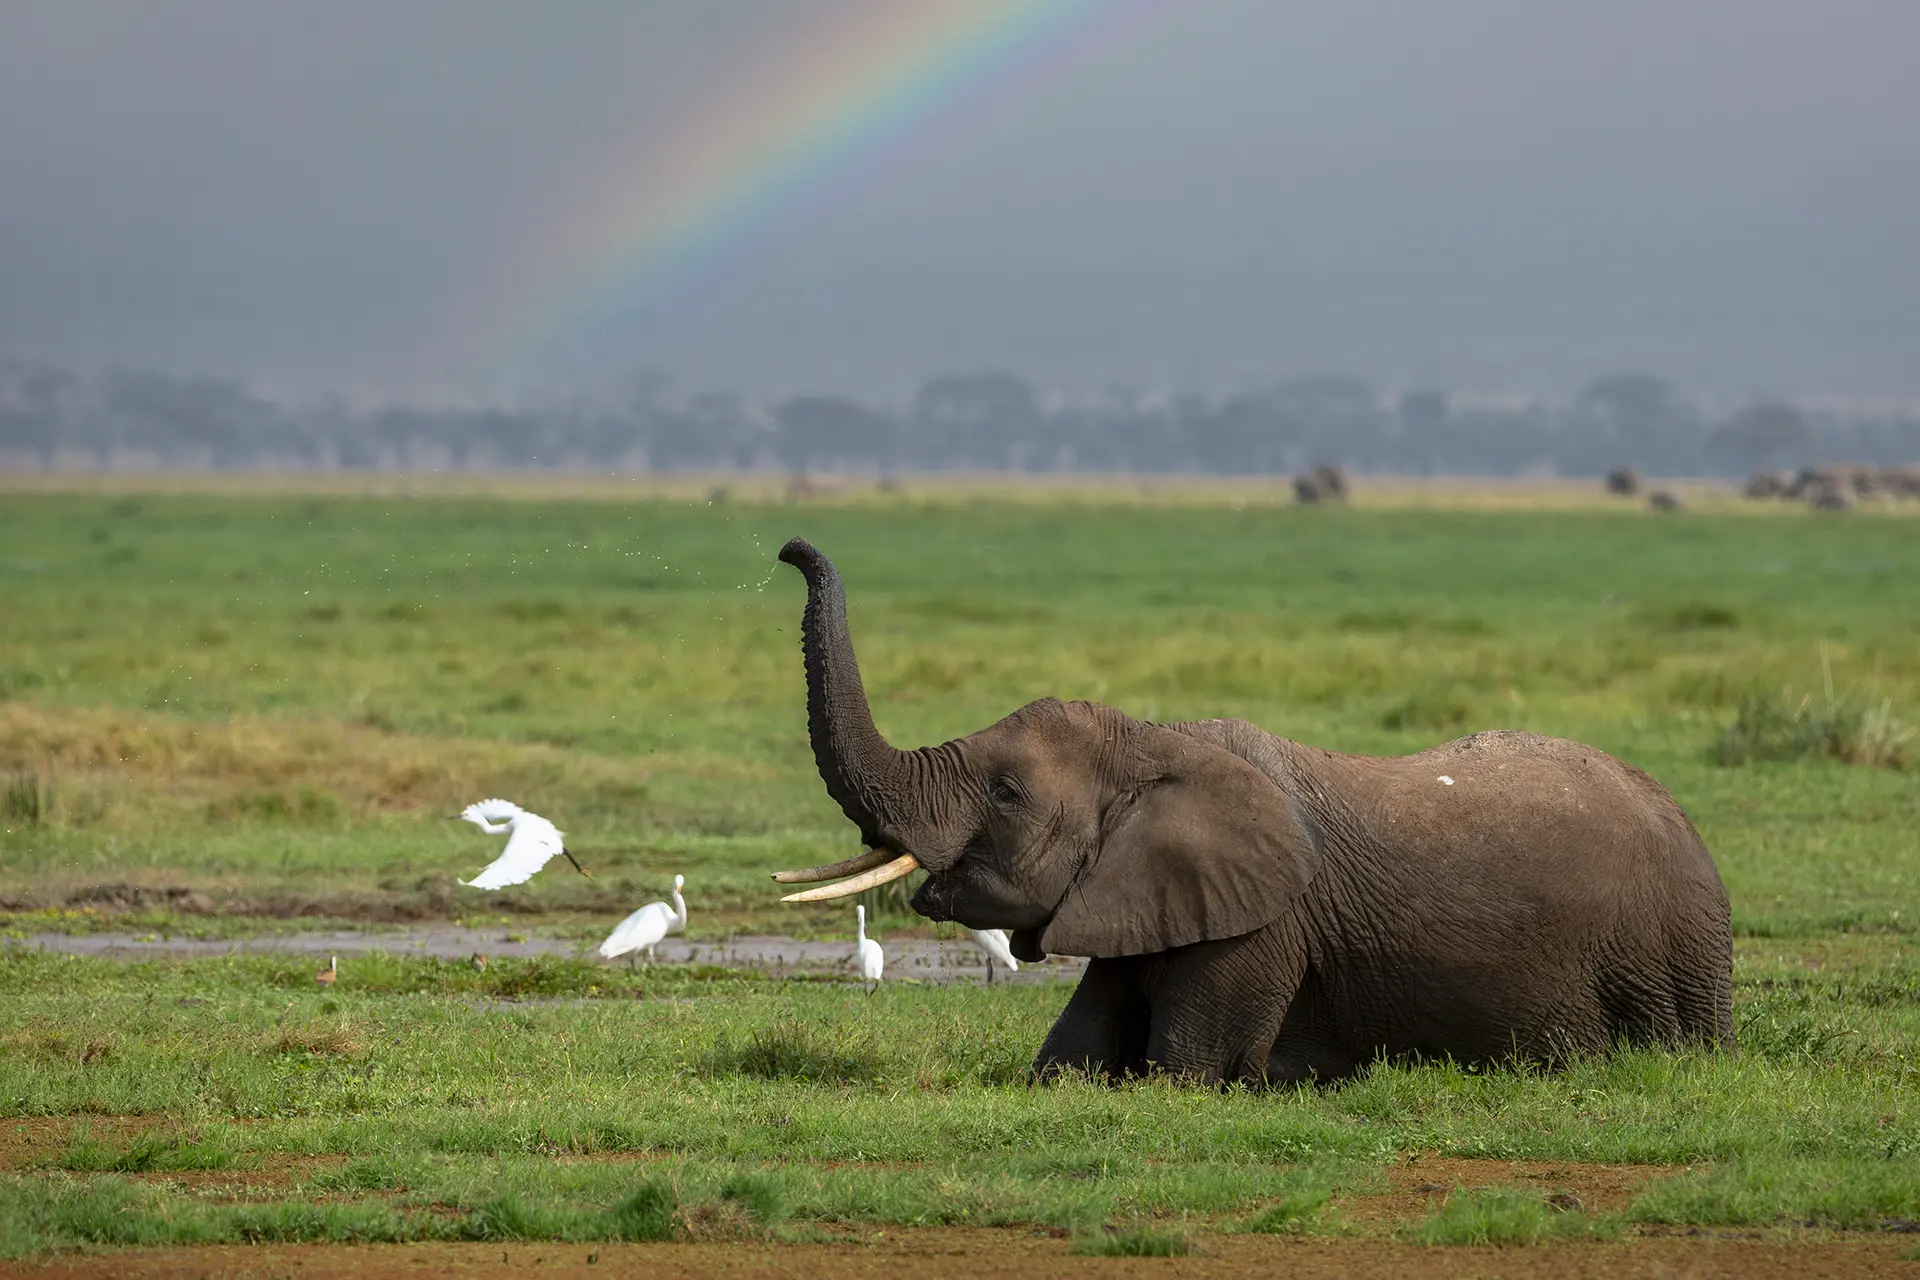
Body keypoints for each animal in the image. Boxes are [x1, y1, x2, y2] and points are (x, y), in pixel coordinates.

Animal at [770, 538, 1734, 1085]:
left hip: (1666, 958)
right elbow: (1066, 1064)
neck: (1156, 744)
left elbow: (1183, 1074)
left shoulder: (1262, 927)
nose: (787, 548)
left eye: (1006, 794)